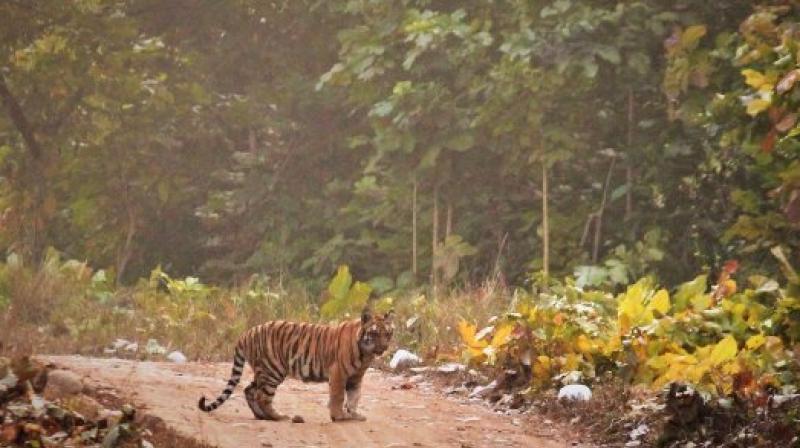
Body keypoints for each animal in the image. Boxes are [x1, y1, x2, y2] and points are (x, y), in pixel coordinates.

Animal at [195, 310, 392, 422]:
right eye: (374, 333)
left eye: (388, 334)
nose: (384, 347)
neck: (365, 354)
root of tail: (246, 333)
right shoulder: (338, 373)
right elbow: (338, 396)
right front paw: (339, 416)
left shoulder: (356, 377)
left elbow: (354, 397)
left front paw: (354, 415)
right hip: (272, 370)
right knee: (262, 396)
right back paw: (278, 417)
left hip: (263, 371)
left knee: (249, 390)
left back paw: (262, 416)